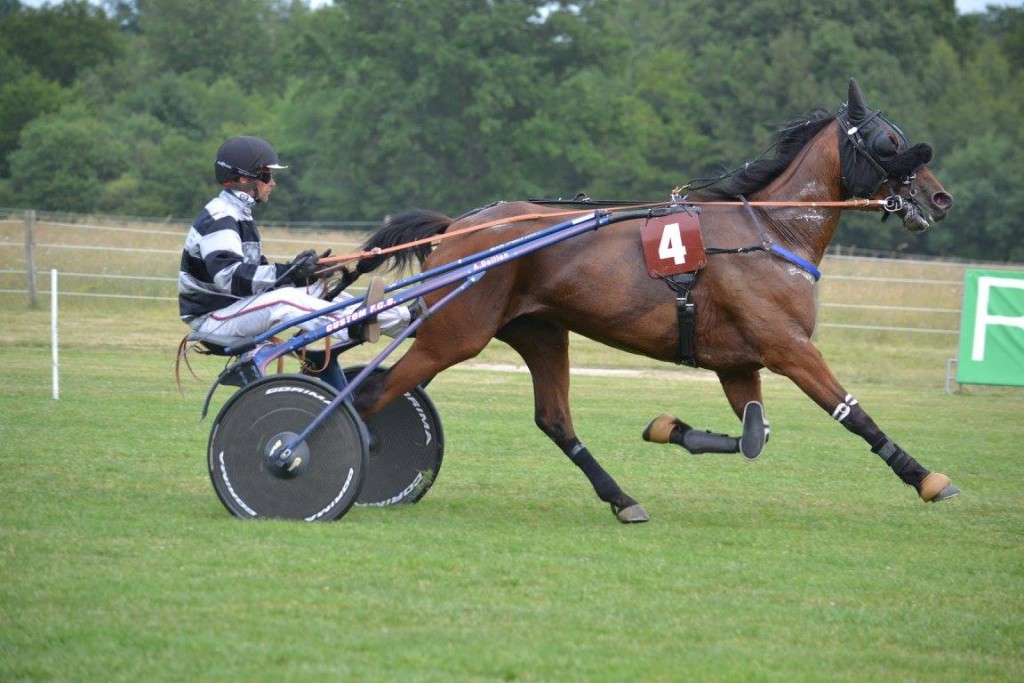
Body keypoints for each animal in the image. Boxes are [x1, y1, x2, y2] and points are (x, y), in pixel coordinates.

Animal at [348, 77, 954, 520]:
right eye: (887, 142)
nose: (939, 197)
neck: (771, 229)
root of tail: (455, 228)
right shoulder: (789, 348)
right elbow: (853, 415)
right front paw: (926, 478)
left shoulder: (739, 363)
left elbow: (754, 435)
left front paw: (668, 428)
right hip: (455, 334)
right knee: (373, 391)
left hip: (539, 332)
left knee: (554, 419)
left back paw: (622, 499)